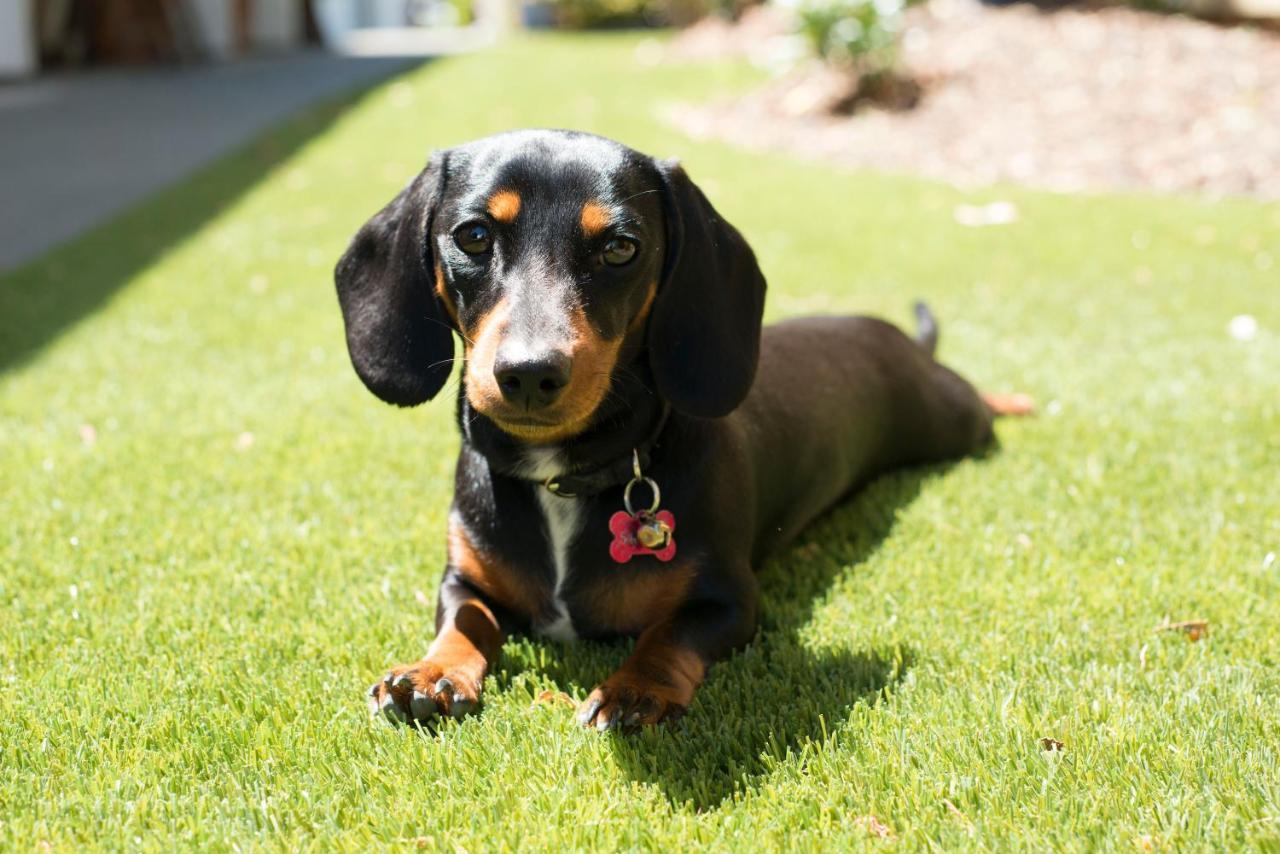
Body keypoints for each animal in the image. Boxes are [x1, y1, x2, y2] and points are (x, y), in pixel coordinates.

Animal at [340, 130, 1029, 732]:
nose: (529, 374)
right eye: (474, 235)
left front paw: (634, 689)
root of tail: (894, 335)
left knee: (978, 401)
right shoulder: (462, 577)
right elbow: (466, 621)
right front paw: (432, 673)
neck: (561, 475)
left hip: (951, 419)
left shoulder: (728, 598)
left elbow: (667, 633)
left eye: (620, 247)